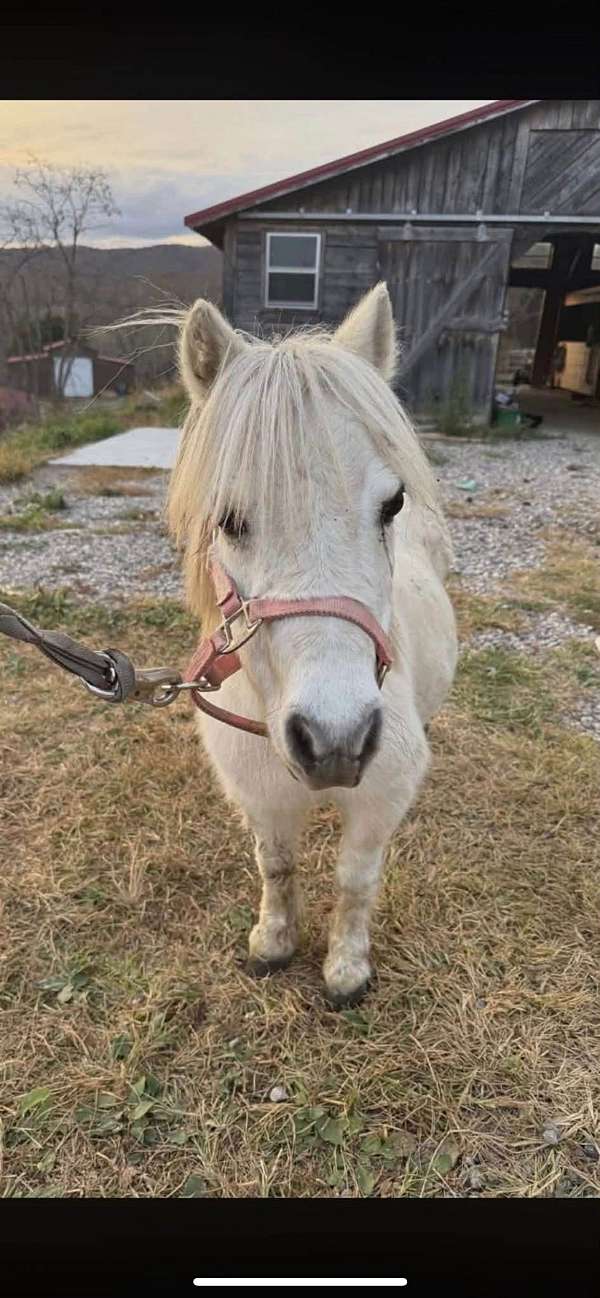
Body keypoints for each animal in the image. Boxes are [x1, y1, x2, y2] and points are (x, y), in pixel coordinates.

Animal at [167, 282, 458, 1007]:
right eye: (229, 519)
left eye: (392, 505)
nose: (337, 739)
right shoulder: (260, 793)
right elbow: (276, 865)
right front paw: (273, 942)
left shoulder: (379, 800)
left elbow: (355, 883)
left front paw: (347, 969)